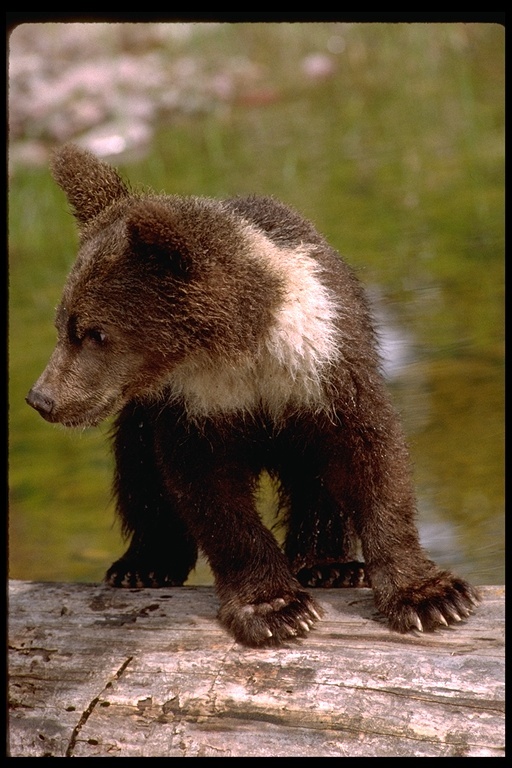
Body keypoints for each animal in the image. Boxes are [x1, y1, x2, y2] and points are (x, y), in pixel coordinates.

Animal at [26, 146, 478, 648]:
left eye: (95, 332)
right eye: (63, 323)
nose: (42, 398)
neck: (243, 351)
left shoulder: (327, 364)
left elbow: (372, 458)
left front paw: (432, 597)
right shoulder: (192, 407)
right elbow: (208, 491)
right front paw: (276, 608)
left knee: (316, 482)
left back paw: (330, 565)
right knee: (138, 467)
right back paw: (144, 564)